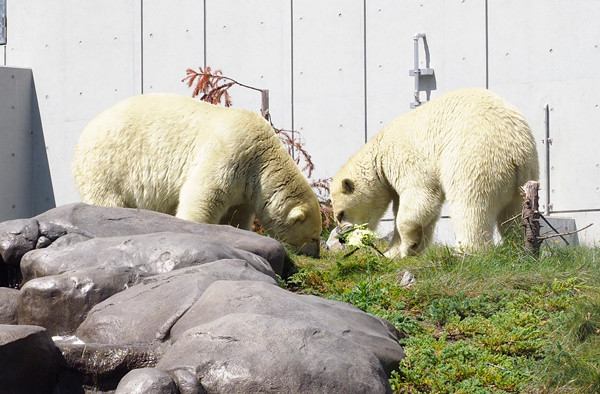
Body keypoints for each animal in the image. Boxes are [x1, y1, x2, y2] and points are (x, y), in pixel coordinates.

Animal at [72, 93, 324, 258]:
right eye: (314, 237)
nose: (316, 254)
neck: (263, 156)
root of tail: (82, 136)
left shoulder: (246, 187)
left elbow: (236, 214)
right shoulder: (230, 153)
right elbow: (202, 195)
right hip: (108, 167)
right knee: (107, 198)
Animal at [330, 87, 540, 258]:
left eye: (340, 214)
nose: (341, 238)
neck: (378, 154)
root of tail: (514, 153)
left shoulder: (405, 159)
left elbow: (418, 199)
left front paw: (407, 246)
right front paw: (395, 251)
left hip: (475, 161)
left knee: (470, 206)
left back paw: (465, 251)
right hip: (525, 176)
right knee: (513, 213)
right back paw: (516, 244)